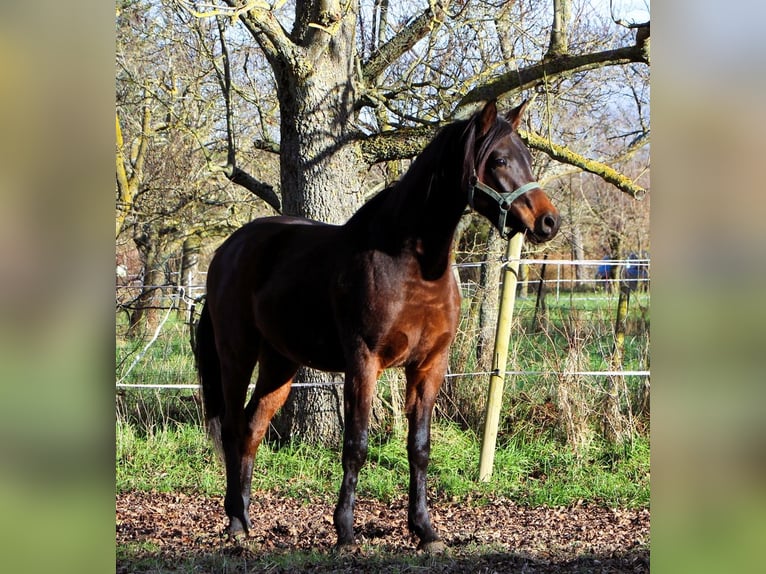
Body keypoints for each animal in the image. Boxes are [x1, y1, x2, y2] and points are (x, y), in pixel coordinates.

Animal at [195, 100, 560, 552]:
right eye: (499, 160)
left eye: (528, 158)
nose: (549, 222)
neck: (410, 264)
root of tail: (229, 249)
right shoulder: (363, 362)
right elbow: (356, 445)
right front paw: (345, 532)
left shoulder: (429, 365)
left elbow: (419, 448)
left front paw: (425, 531)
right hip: (237, 353)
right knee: (231, 427)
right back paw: (233, 523)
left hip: (281, 362)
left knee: (252, 427)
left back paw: (245, 519)